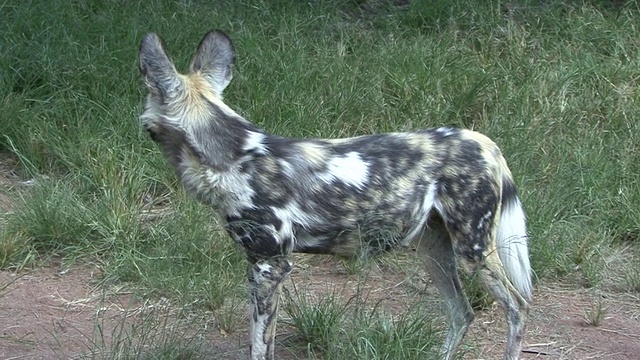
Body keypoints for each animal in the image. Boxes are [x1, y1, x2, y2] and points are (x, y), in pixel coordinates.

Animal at [140, 30, 536, 360]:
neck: (232, 154)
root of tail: (483, 141)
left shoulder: (270, 268)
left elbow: (259, 346)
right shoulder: (265, 270)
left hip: (472, 251)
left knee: (517, 308)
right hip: (434, 250)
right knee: (461, 313)